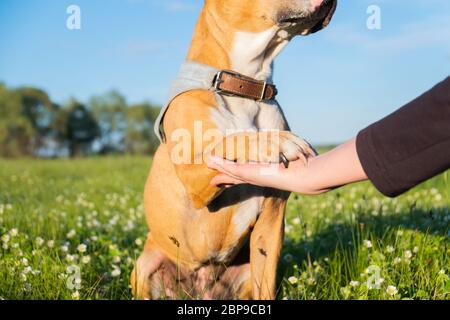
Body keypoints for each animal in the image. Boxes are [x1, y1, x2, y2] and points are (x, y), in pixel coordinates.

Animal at [132, 0, 336, 300]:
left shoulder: (272, 220)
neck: (245, 85)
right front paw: (273, 141)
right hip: (145, 265)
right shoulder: (194, 175)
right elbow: (230, 140)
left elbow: (267, 281)